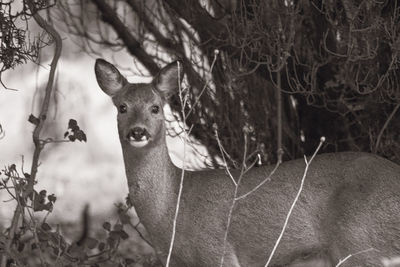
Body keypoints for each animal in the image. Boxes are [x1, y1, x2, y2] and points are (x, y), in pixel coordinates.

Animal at [94, 59, 400, 267]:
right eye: (122, 107)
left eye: (156, 108)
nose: (138, 132)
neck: (173, 208)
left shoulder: (218, 251)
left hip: (359, 242)